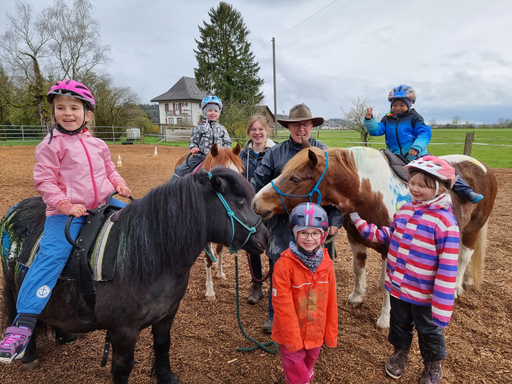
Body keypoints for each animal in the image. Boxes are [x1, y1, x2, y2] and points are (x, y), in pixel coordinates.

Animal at [2, 169, 268, 384]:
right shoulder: (123, 331)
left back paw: (64, 335)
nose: (264, 238)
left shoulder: (166, 316)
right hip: (14, 287)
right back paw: (28, 354)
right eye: (240, 204)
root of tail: (13, 212)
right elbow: (122, 369)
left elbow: (163, 346)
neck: (146, 256)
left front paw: (166, 376)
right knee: (20, 310)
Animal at [254, 147, 498, 330]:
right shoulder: (356, 240)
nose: (256, 202)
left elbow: (385, 282)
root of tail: (483, 168)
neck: (367, 192)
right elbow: (358, 269)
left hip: (472, 230)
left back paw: (456, 288)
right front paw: (356, 296)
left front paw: (385, 319)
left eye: (295, 178)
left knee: (464, 257)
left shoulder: (390, 247)